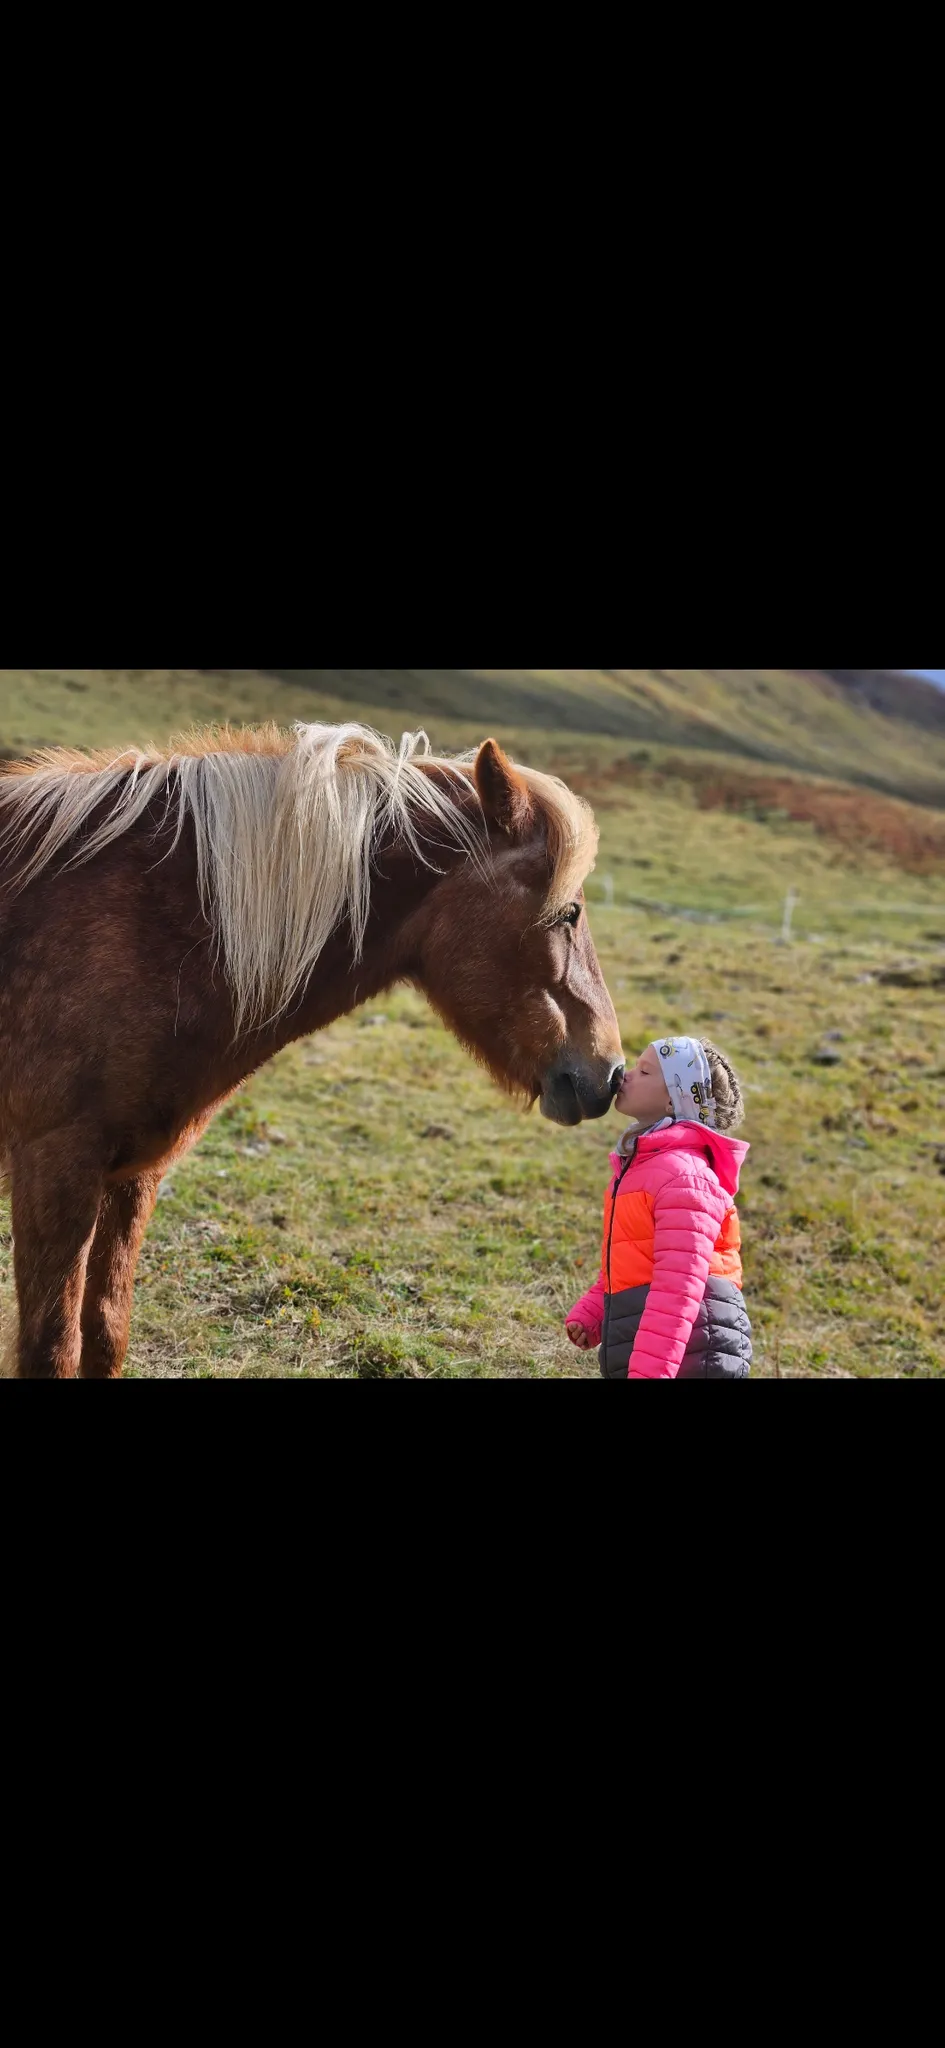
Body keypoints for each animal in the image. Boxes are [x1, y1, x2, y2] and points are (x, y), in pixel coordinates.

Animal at [0, 721, 624, 1379]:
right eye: (569, 912)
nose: (608, 1071)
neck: (152, 931)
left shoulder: (134, 1174)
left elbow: (104, 1332)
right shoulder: (55, 1165)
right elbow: (52, 1348)